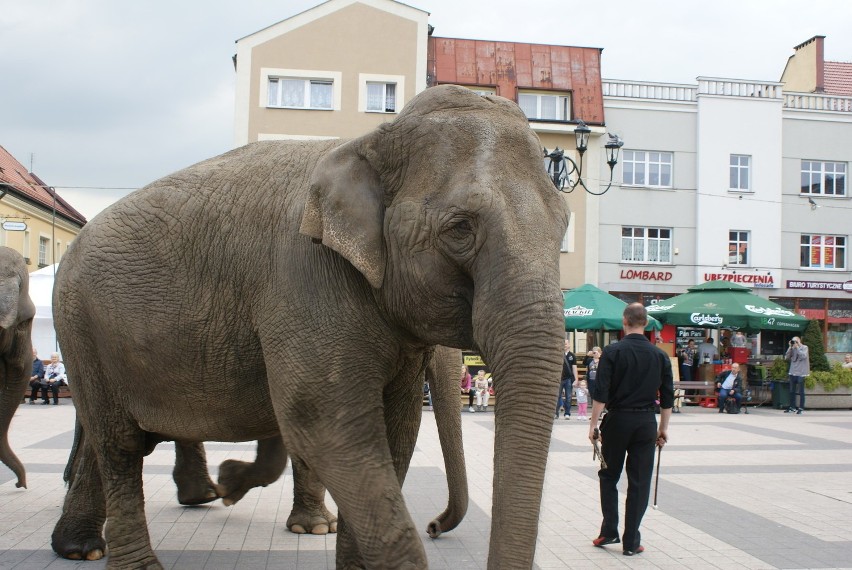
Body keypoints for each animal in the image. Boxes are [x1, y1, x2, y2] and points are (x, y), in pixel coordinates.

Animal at [51, 85, 564, 568]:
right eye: (460, 228)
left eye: (563, 226)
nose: (435, 526)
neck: (368, 140)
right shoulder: (303, 276)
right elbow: (325, 422)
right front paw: (239, 483)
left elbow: (396, 430)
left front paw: (289, 514)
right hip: (79, 326)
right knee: (119, 444)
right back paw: (131, 551)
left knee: (109, 439)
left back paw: (83, 546)